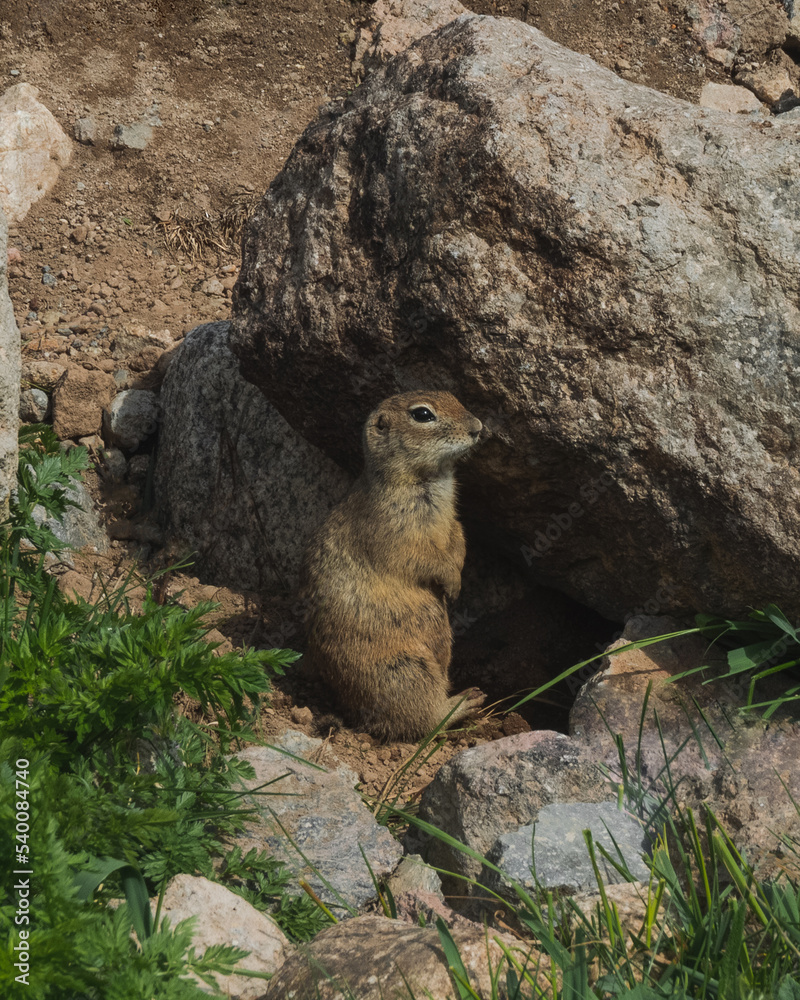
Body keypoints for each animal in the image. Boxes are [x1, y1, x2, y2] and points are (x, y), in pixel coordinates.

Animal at [299, 390, 486, 742]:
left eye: (453, 396)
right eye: (423, 414)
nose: (478, 428)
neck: (430, 479)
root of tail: (362, 720)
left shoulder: (453, 521)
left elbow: (458, 537)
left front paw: (457, 578)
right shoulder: (398, 531)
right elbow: (425, 558)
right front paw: (452, 584)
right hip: (407, 671)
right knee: (425, 721)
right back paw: (466, 700)